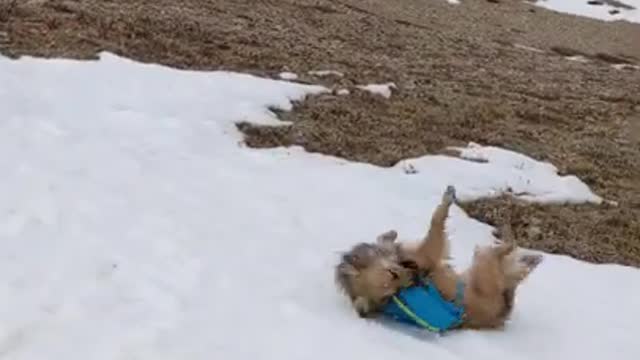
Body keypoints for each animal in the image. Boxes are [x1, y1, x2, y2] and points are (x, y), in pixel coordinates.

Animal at [336, 187, 540, 330]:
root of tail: (500, 315)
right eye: (392, 293)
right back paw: (510, 234)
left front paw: (389, 235)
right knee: (506, 252)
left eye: (392, 272)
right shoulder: (429, 253)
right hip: (485, 268)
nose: (416, 278)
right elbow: (436, 222)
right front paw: (447, 200)